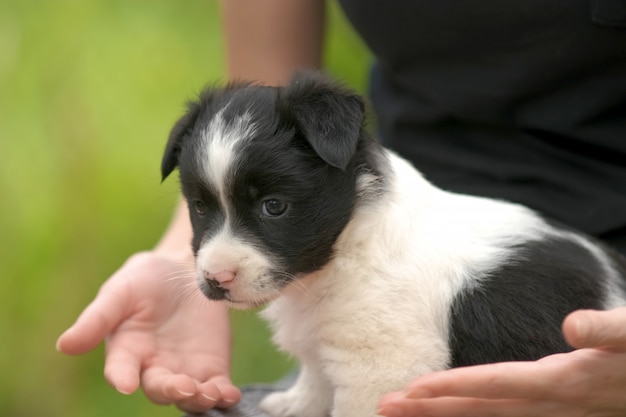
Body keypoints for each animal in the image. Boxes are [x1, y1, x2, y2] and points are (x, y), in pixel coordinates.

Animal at [160, 71, 624, 416]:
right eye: (199, 207)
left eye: (273, 207)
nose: (215, 279)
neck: (346, 248)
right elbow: (315, 377)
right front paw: (293, 405)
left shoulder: (381, 368)